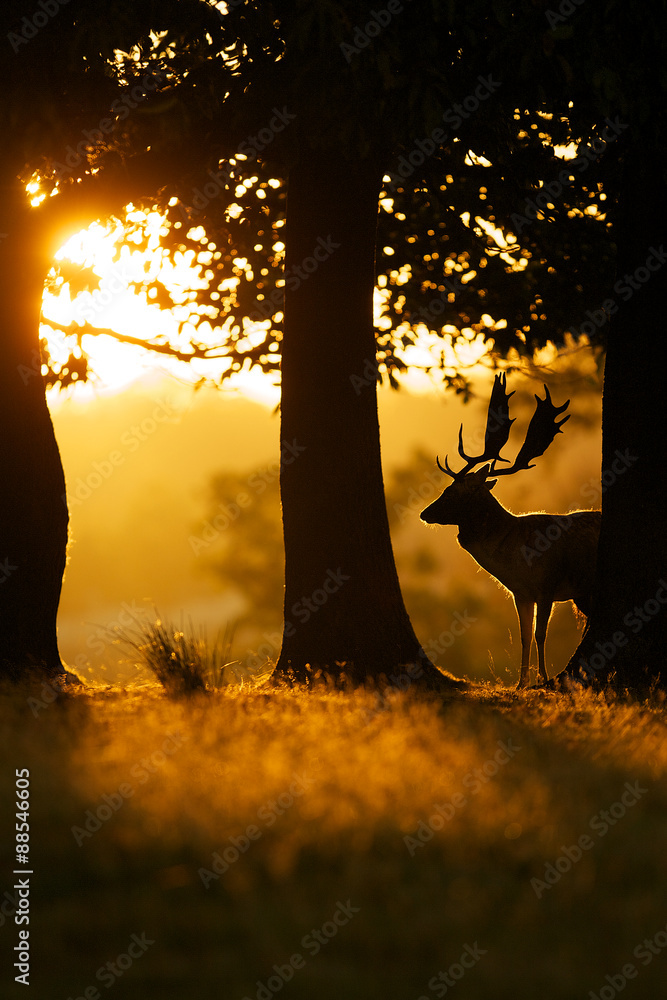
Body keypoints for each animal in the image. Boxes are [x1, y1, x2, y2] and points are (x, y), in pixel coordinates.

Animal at [420, 374, 601, 688]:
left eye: (453, 492)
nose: (424, 513)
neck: (516, 558)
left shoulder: (547, 585)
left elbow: (541, 634)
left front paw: (543, 679)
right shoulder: (521, 592)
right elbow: (524, 636)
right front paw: (521, 683)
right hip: (583, 592)